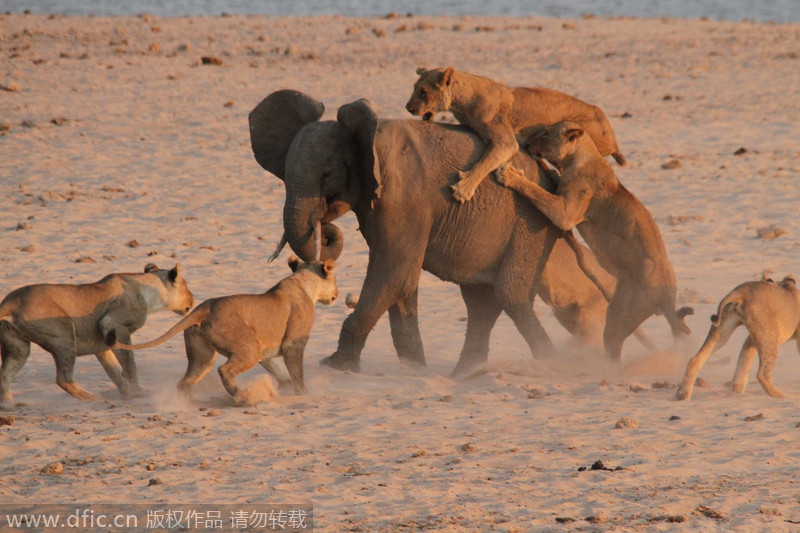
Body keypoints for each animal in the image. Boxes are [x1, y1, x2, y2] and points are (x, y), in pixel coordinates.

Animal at [0, 264, 194, 402]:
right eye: (186, 286)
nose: (193, 299)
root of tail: (9, 303)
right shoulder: (114, 325)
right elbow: (129, 365)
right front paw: (137, 391)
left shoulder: (101, 345)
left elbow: (114, 370)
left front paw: (127, 392)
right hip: (64, 335)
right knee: (63, 379)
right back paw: (94, 399)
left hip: (18, 348)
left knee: (5, 374)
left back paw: (9, 404)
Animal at [106, 256, 338, 400]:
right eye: (335, 278)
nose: (336, 293)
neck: (304, 284)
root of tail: (205, 306)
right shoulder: (293, 343)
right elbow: (297, 374)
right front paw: (305, 395)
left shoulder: (265, 353)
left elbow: (281, 373)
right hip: (248, 348)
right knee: (224, 370)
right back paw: (241, 396)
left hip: (203, 356)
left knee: (185, 382)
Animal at [250, 90, 620, 374]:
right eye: (284, 173)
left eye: (326, 175)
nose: (324, 229)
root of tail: (550, 175)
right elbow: (401, 283)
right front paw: (415, 371)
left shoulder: (403, 197)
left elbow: (392, 273)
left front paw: (335, 368)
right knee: (481, 302)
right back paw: (465, 374)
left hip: (533, 224)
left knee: (510, 295)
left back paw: (555, 364)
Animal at [406, 65, 624, 202]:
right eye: (414, 88)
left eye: (423, 92)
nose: (408, 108)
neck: (461, 102)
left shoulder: (506, 142)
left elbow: (484, 163)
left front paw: (463, 189)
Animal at [496, 120, 692, 360]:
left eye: (545, 133)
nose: (527, 144)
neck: (579, 157)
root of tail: (668, 297)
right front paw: (551, 174)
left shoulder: (566, 214)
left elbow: (536, 191)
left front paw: (510, 175)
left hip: (622, 313)